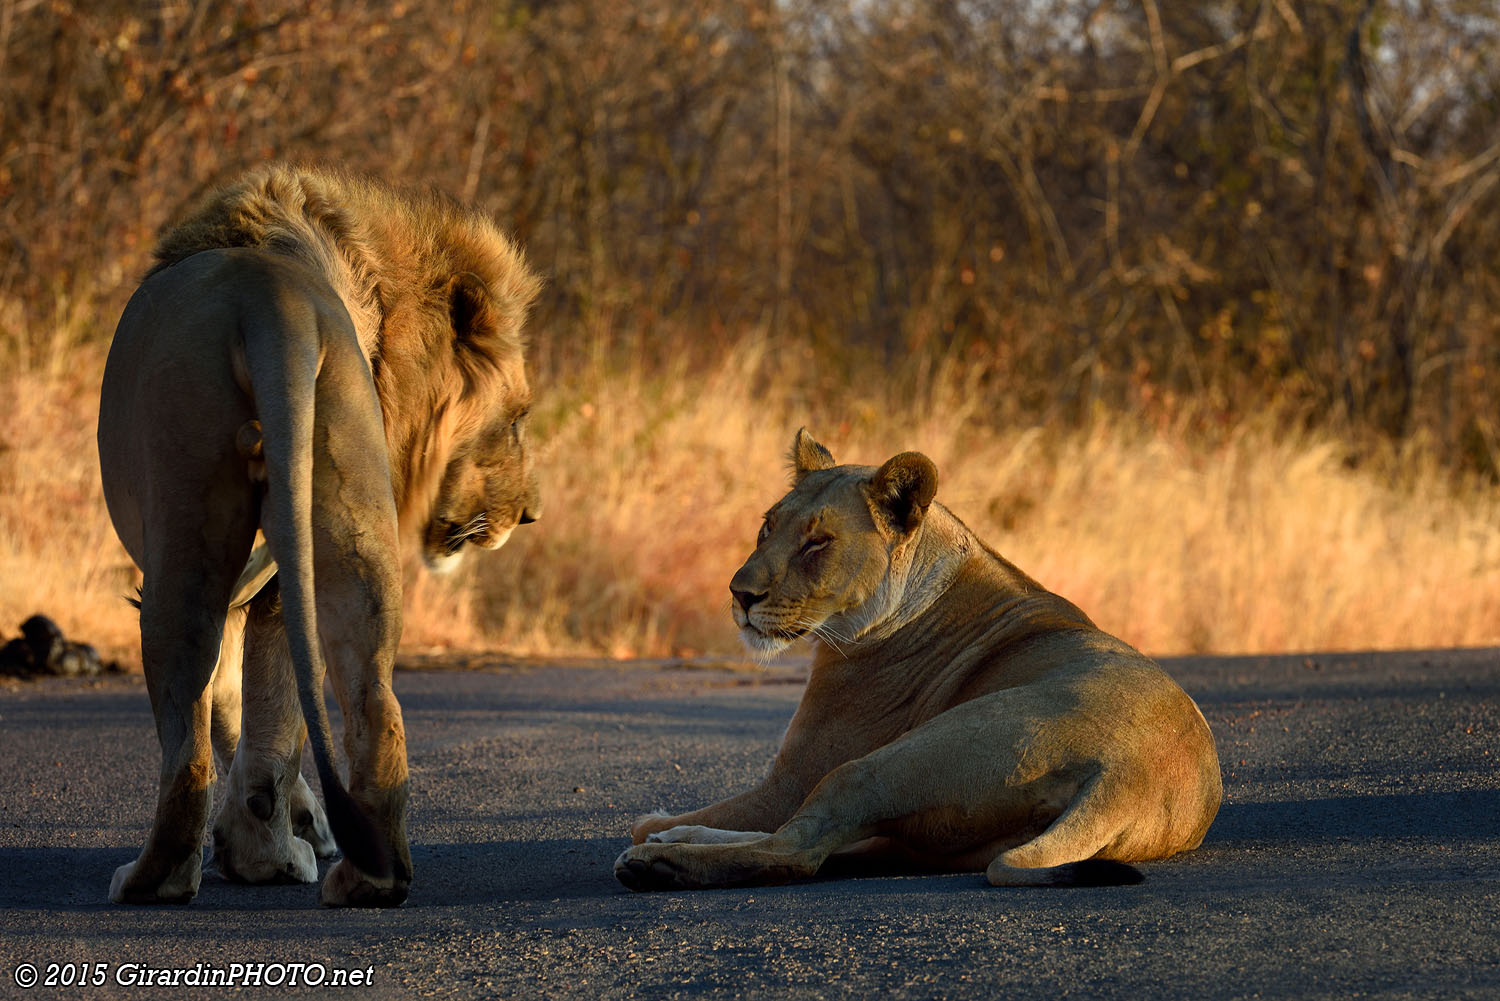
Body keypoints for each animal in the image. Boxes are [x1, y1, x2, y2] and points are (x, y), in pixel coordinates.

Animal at [98, 163, 541, 907]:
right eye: (518, 418)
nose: (531, 514)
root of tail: (270, 302)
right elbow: (251, 702)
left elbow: (236, 704)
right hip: (349, 503)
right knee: (369, 699)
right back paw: (367, 876)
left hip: (185, 523)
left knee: (190, 736)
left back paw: (174, 874)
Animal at [615, 430, 1221, 890]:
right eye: (767, 526)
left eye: (817, 543)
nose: (740, 594)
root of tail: (1129, 778)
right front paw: (674, 826)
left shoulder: (790, 781)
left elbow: (688, 820)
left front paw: (656, 826)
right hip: (929, 836)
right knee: (830, 845)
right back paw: (675, 843)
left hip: (893, 760)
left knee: (797, 849)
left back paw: (659, 861)